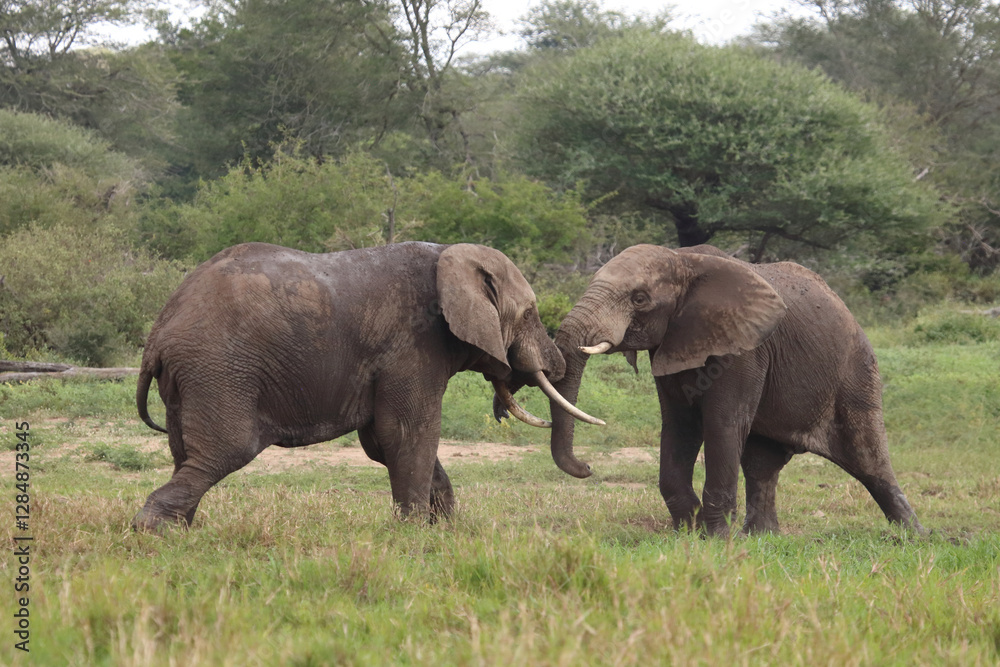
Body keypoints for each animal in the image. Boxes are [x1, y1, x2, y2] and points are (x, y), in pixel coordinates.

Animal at [133, 241, 601, 531]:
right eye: (530, 314)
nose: (590, 470)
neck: (450, 253)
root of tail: (158, 333)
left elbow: (384, 441)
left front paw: (446, 531)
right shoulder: (412, 345)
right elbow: (408, 434)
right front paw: (415, 534)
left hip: (190, 380)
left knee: (186, 454)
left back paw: (179, 530)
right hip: (219, 370)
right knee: (225, 450)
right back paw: (152, 531)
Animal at [534, 243, 923, 536]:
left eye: (639, 299)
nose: (587, 467)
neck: (684, 260)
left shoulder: (745, 348)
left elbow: (722, 424)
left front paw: (716, 538)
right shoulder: (672, 343)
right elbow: (680, 426)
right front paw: (690, 530)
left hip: (855, 372)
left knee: (868, 458)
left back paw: (914, 536)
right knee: (761, 464)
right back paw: (762, 537)